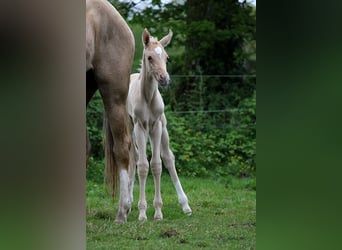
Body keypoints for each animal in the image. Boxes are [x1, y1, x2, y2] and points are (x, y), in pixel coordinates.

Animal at [127, 28, 192, 222]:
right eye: (149, 57)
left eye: (167, 58)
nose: (164, 79)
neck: (148, 97)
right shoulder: (140, 127)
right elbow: (142, 166)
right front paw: (142, 212)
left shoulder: (156, 126)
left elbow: (157, 165)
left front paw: (157, 211)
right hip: (131, 129)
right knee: (134, 158)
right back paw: (128, 202)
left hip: (163, 129)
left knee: (168, 158)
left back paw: (185, 205)